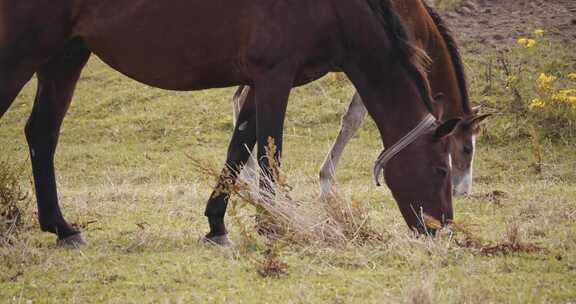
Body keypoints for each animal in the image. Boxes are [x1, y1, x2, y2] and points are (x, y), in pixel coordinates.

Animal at [0, 0, 460, 246]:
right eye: (441, 169)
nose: (442, 230)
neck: (333, 10)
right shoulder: (275, 77)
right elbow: (270, 153)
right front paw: (273, 225)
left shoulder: (258, 83)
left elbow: (238, 150)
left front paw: (216, 223)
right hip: (24, 52)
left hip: (65, 57)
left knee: (42, 133)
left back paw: (61, 228)